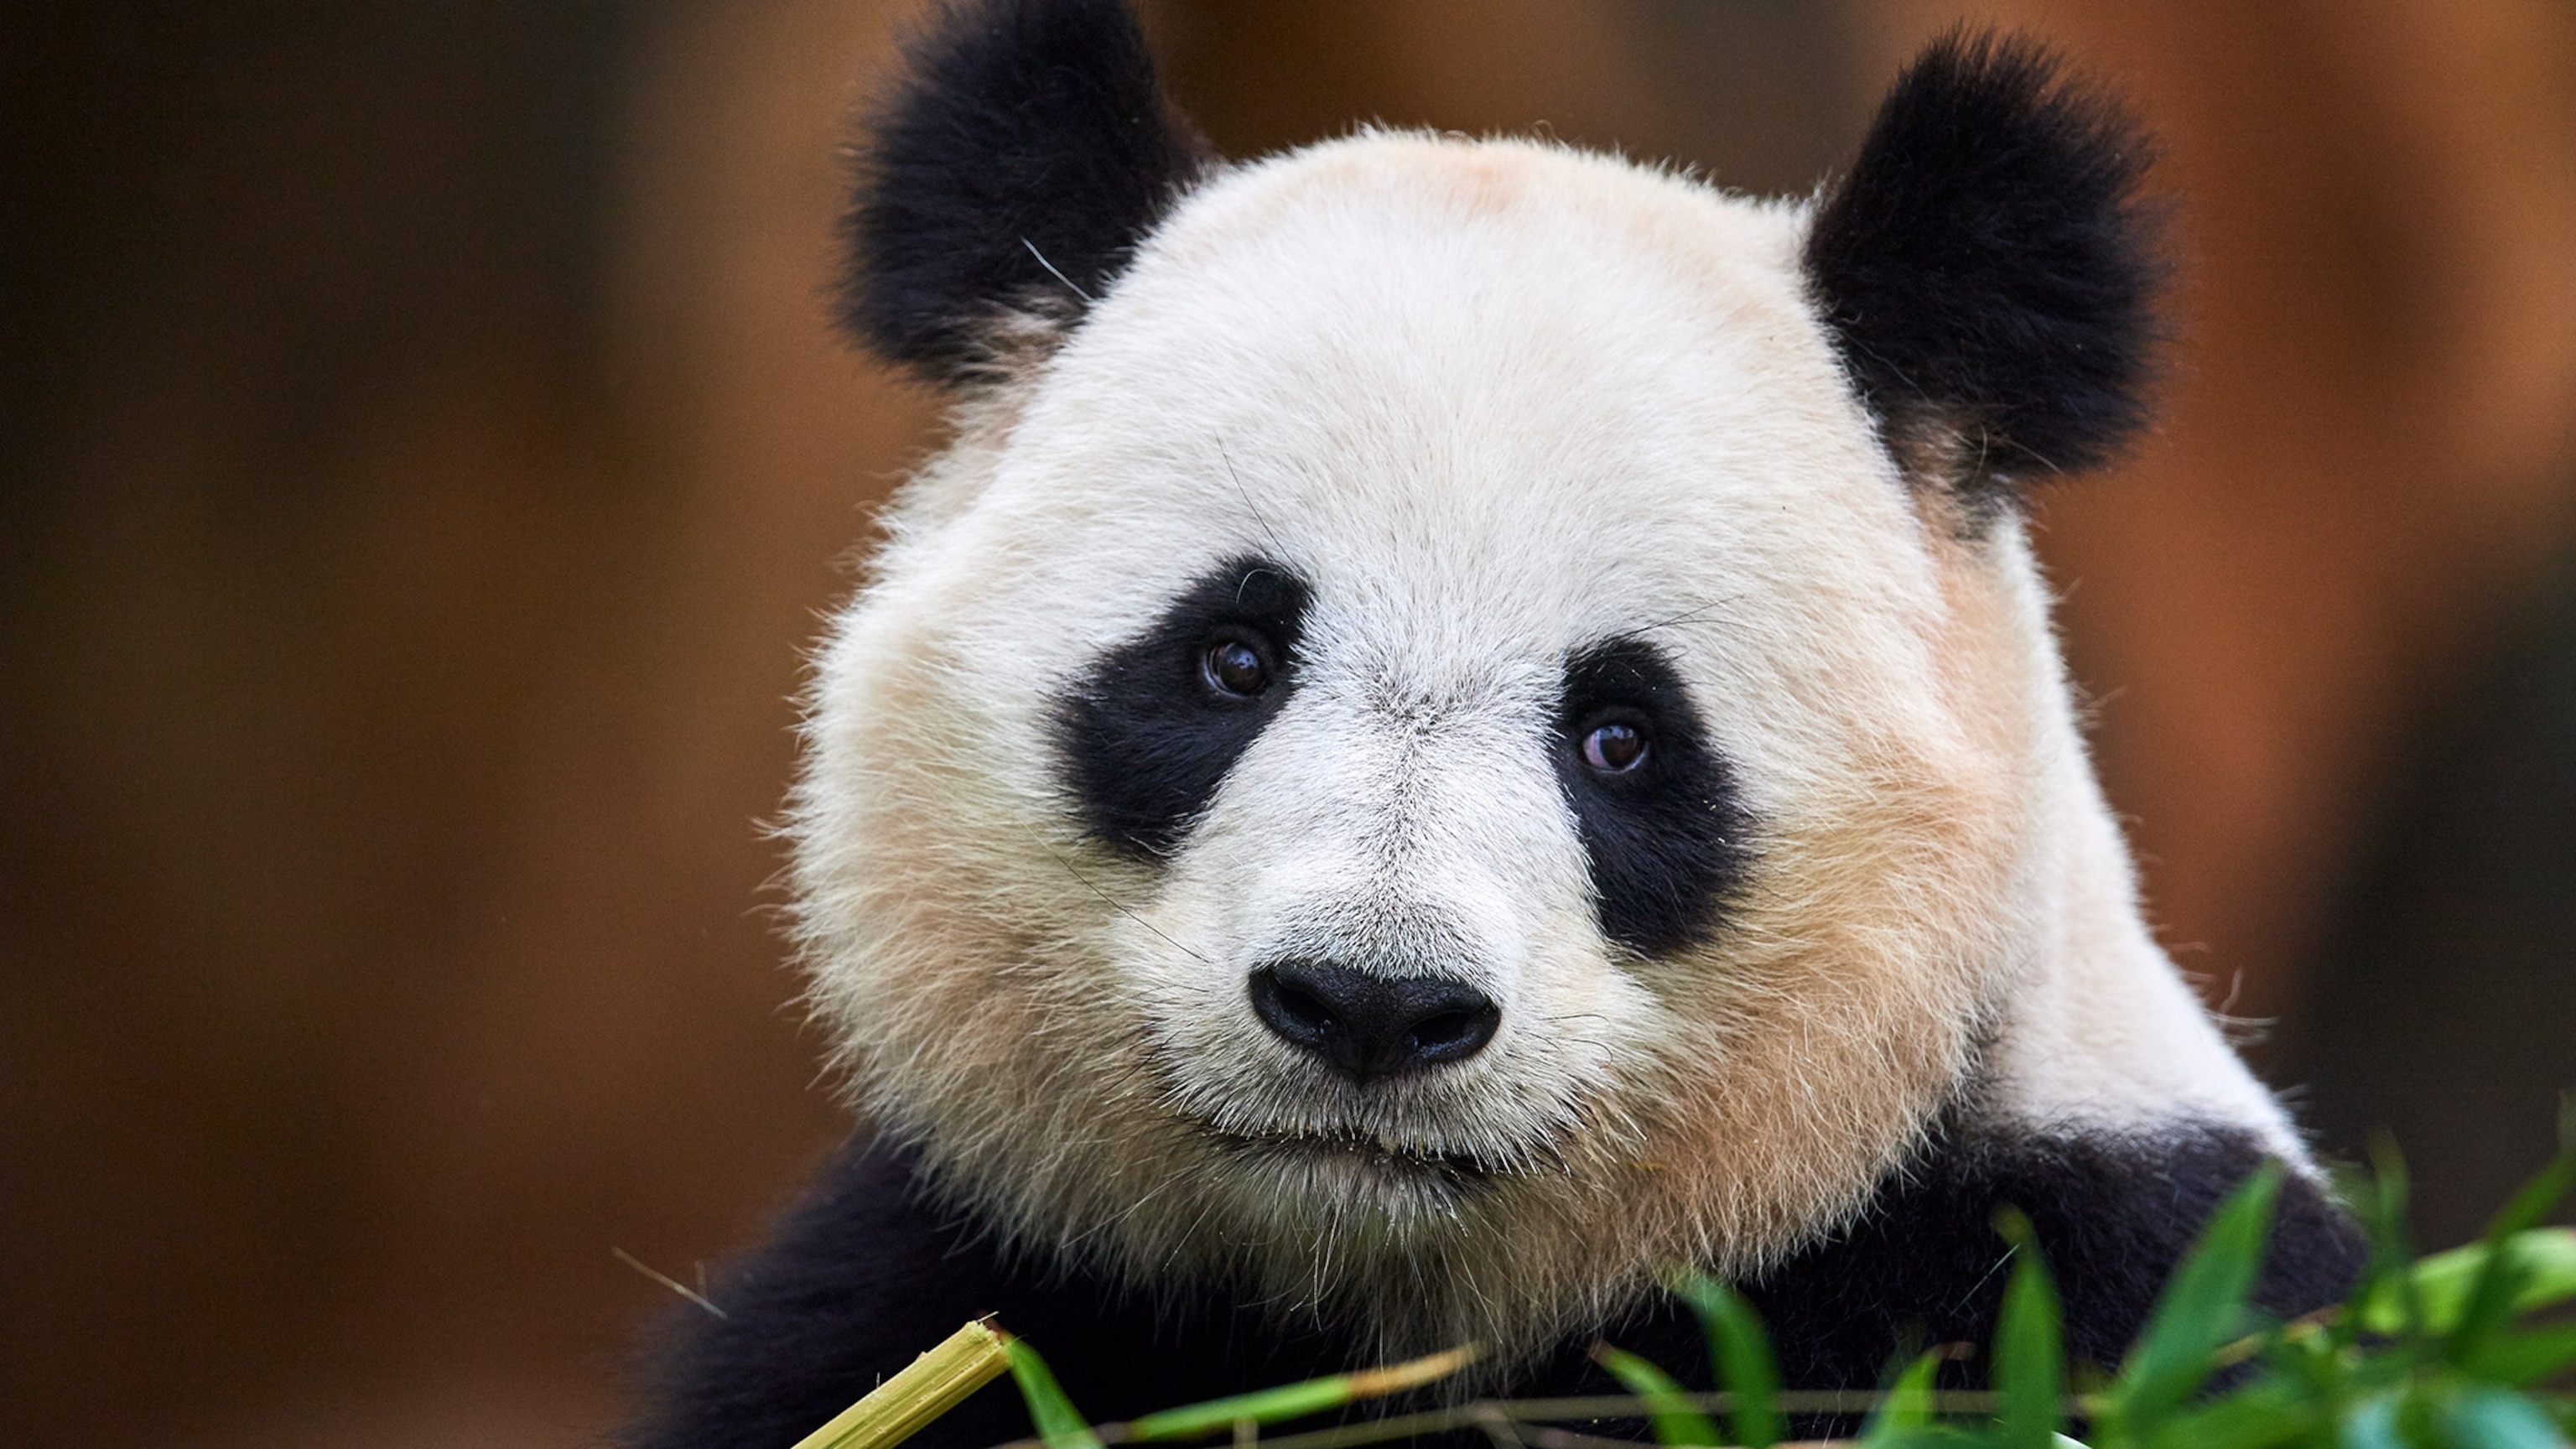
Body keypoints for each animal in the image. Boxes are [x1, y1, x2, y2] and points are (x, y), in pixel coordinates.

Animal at [626, 2, 2367, 1445]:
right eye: (1230, 658)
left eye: (1622, 736)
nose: (1370, 1003)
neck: (1376, 1317)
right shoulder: (946, 1279)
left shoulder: (2083, 1271)